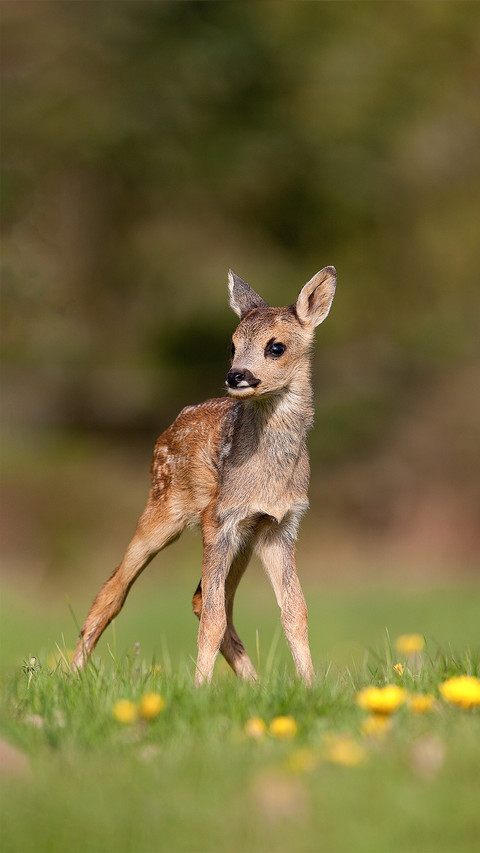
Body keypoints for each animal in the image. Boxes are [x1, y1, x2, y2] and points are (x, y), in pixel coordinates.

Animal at [71, 266, 337, 685]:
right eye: (232, 345)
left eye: (276, 347)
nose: (236, 376)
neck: (268, 478)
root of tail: (169, 427)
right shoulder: (218, 519)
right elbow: (213, 620)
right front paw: (198, 690)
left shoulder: (280, 525)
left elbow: (296, 612)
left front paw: (309, 688)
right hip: (163, 508)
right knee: (114, 589)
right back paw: (69, 675)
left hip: (243, 540)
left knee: (203, 600)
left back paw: (253, 685)